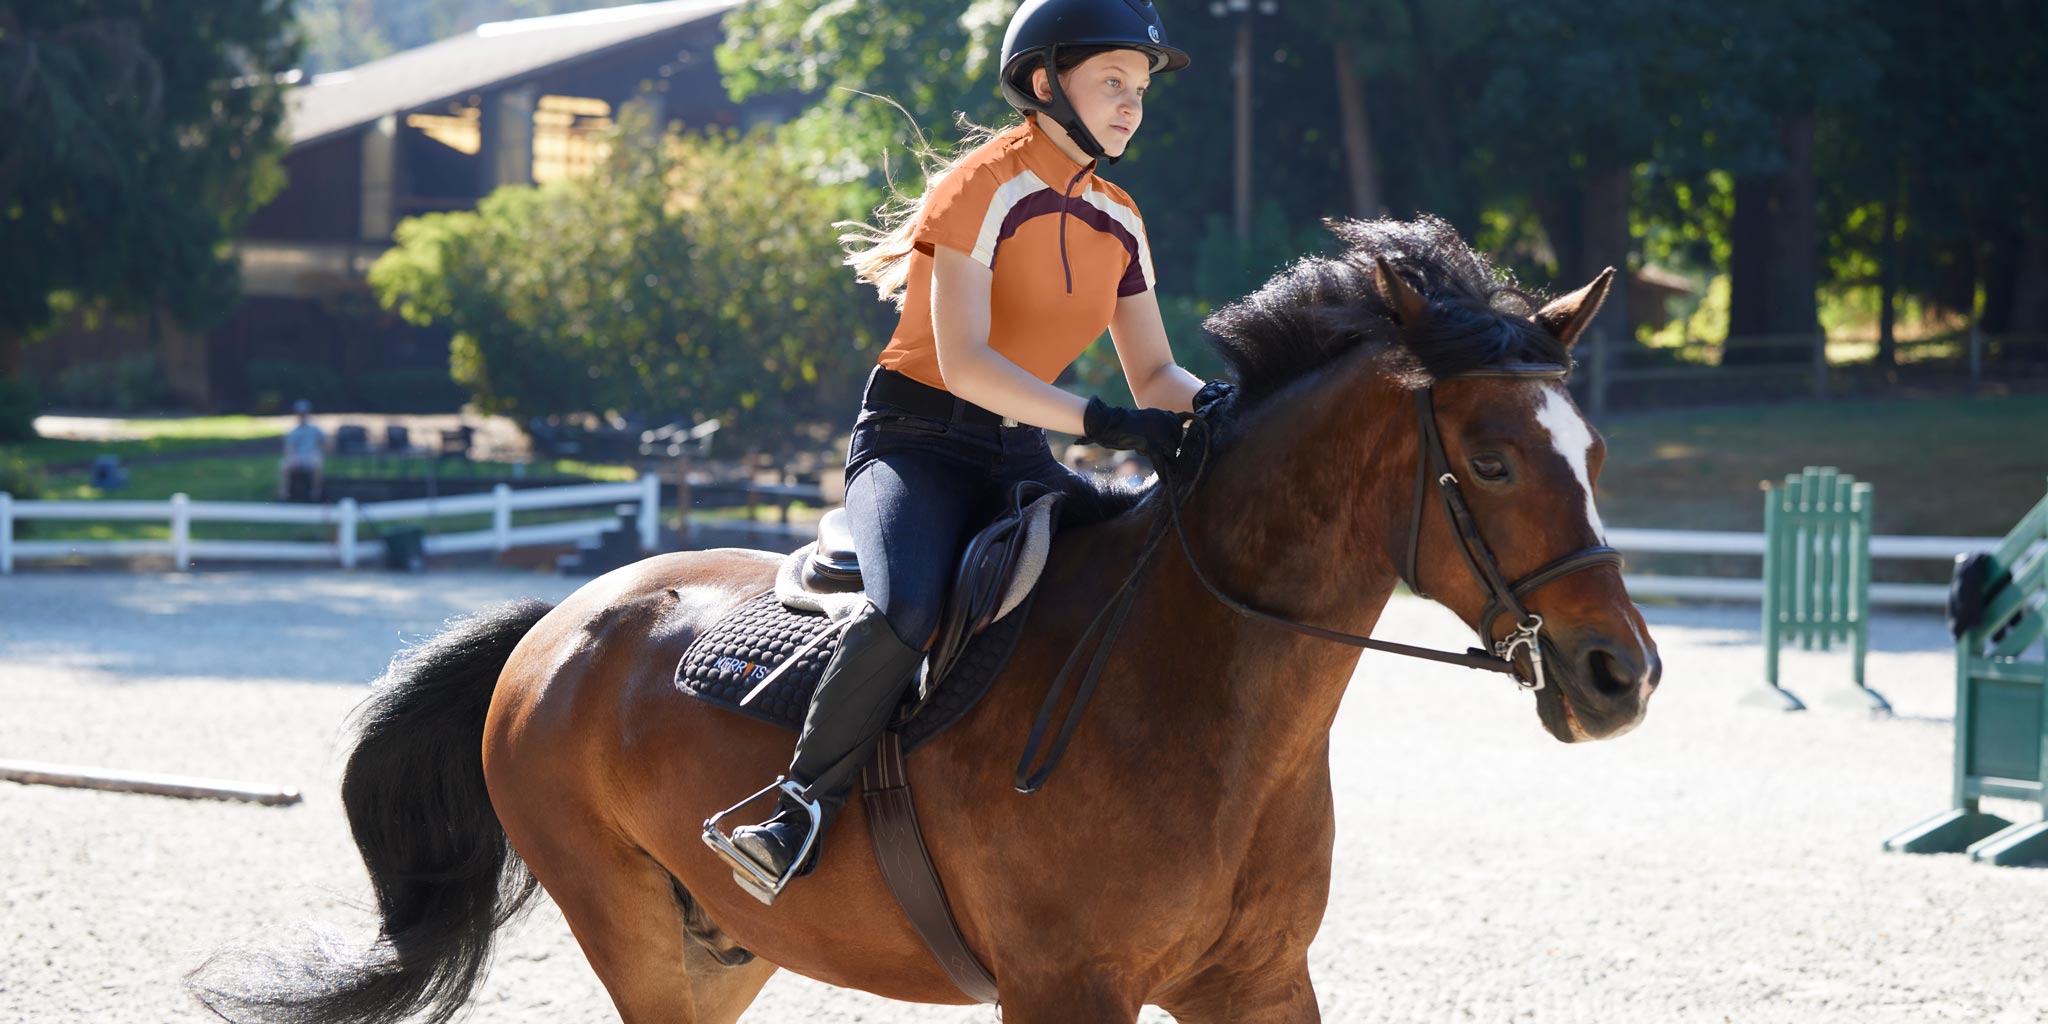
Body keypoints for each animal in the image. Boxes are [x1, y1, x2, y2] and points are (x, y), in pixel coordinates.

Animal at [195, 218, 1662, 1024]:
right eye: (1489, 459)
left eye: (1592, 450)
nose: (1619, 676)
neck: (1205, 693)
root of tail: (563, 617)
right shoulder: (1065, 990)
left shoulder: (1256, 983)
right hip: (635, 934)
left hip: (726, 947)